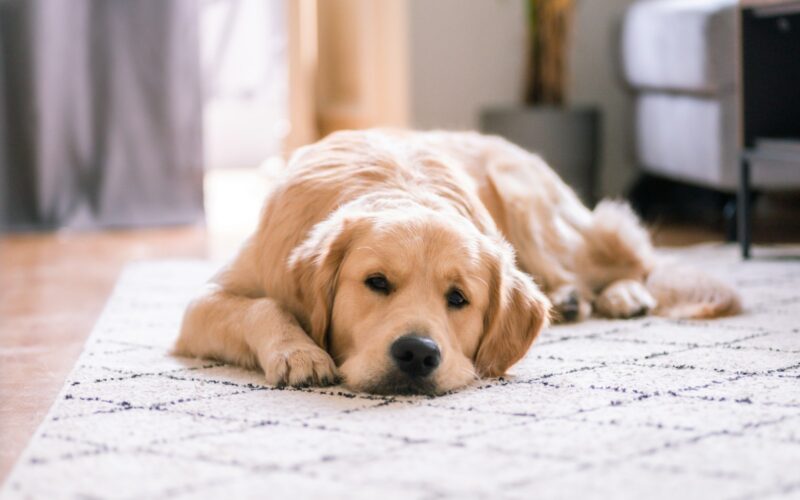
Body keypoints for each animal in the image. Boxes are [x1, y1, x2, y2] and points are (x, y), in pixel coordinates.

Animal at [173, 129, 736, 394]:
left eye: (459, 298)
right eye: (376, 282)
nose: (417, 354)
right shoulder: (202, 304)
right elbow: (263, 306)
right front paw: (299, 352)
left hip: (534, 212)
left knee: (634, 258)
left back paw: (620, 294)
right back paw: (573, 301)